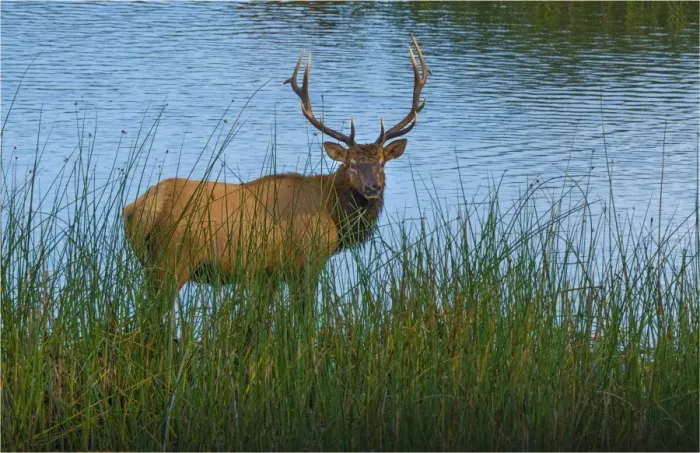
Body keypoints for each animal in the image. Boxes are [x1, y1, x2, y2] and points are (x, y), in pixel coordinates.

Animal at [123, 34, 430, 305]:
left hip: (150, 264)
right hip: (173, 259)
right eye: (351, 164)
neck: (333, 212)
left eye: (382, 162)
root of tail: (136, 209)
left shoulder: (268, 272)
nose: (372, 187)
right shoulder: (308, 259)